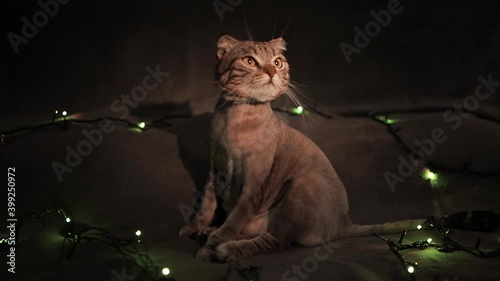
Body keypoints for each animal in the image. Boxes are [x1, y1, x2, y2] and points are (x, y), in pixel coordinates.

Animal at [178, 34, 424, 260]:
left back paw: (224, 248)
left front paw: (214, 243)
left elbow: (234, 218)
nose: (271, 72)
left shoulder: (253, 185)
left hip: (304, 182)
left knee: (273, 240)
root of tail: (344, 222)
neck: (237, 116)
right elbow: (206, 205)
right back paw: (208, 232)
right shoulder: (214, 169)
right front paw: (195, 228)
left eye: (277, 62)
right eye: (249, 61)